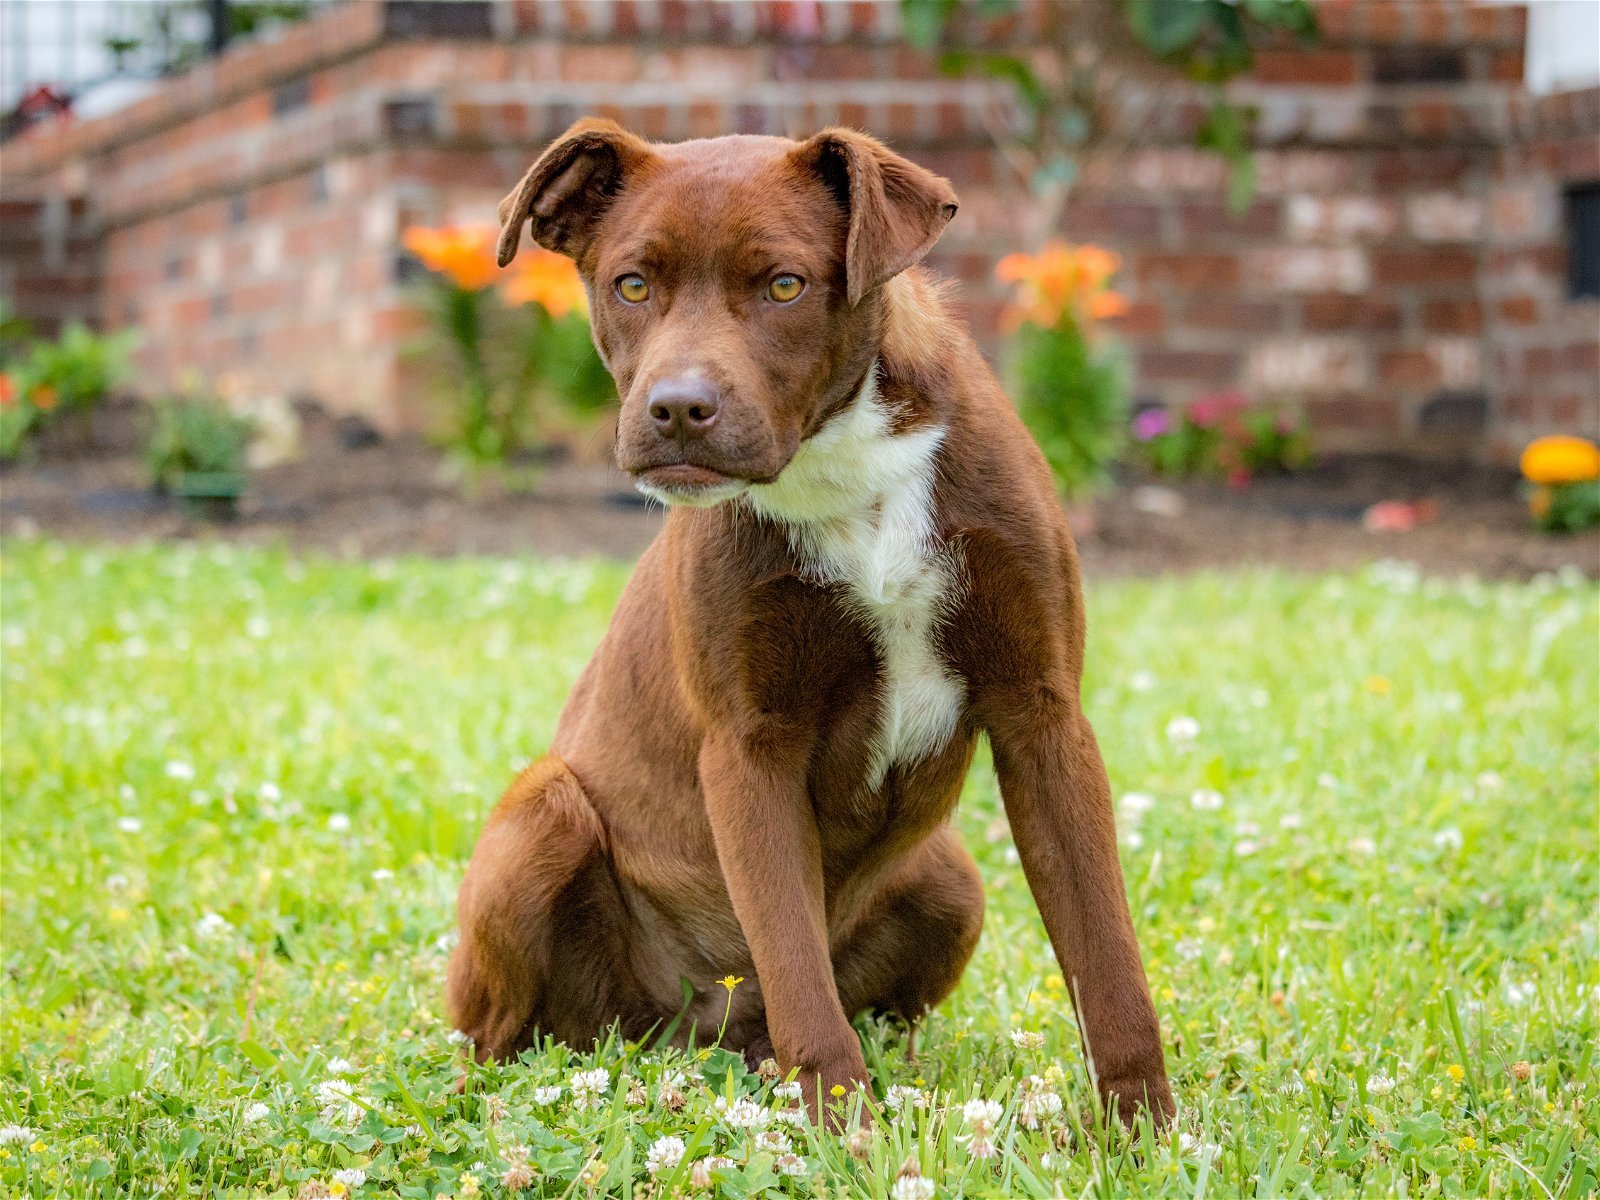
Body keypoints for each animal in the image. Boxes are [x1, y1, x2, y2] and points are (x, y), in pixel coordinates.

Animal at [451, 120, 1177, 1126]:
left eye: (785, 285)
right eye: (631, 284)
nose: (676, 409)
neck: (841, 465)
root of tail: (693, 1032)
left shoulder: (1042, 714)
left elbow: (1106, 954)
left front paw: (1143, 1130)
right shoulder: (750, 746)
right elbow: (798, 972)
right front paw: (846, 1130)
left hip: (951, 880)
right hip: (543, 812)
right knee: (496, 1037)